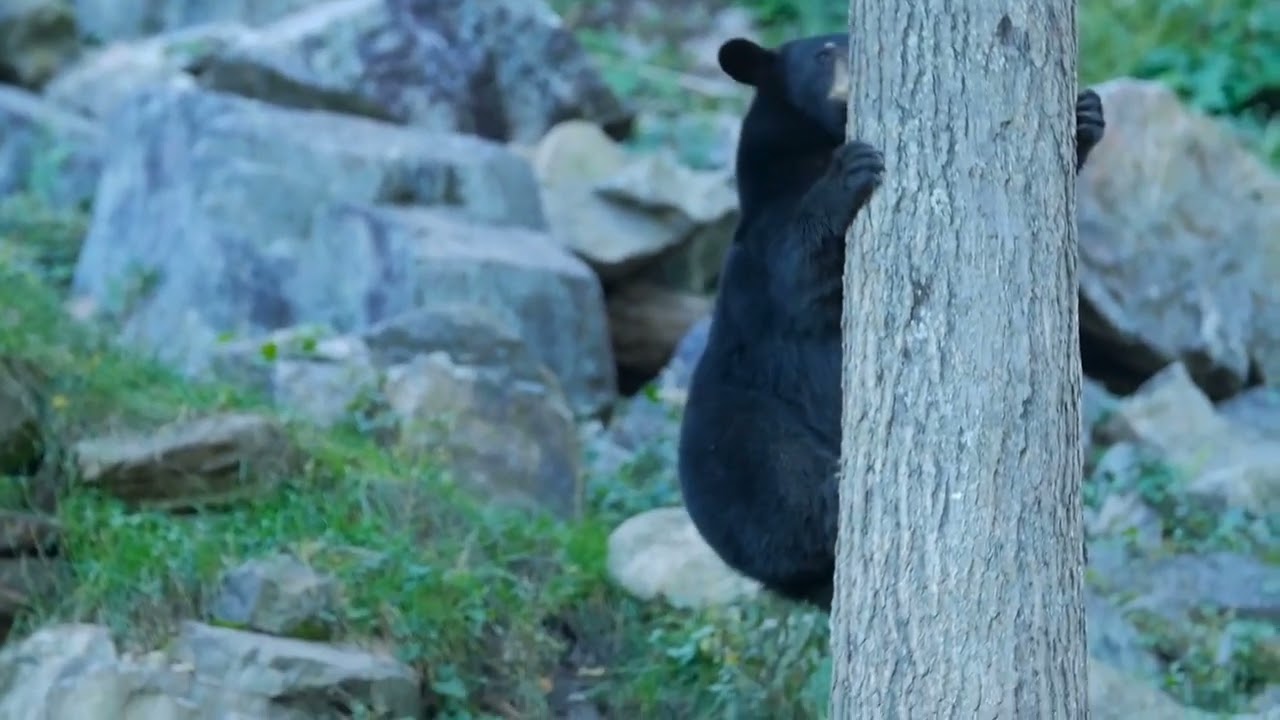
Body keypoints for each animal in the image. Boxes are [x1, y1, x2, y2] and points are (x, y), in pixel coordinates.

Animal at [677, 32, 1107, 612]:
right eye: (823, 52)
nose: (852, 68)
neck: (812, 142)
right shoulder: (766, 239)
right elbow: (799, 267)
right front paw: (850, 174)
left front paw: (1085, 116)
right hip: (742, 436)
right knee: (784, 482)